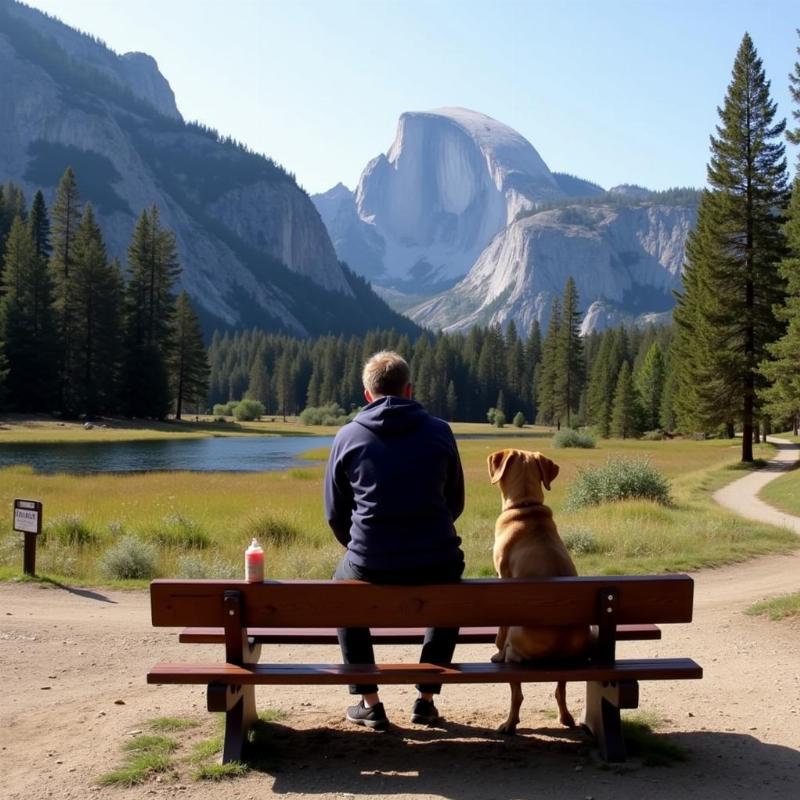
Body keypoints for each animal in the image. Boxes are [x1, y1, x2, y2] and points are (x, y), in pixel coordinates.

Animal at [484, 446, 592, 736]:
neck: (525, 506)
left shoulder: (502, 579)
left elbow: (499, 632)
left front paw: (495, 652)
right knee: (560, 689)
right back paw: (566, 717)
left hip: (515, 645)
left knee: (517, 693)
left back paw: (509, 723)